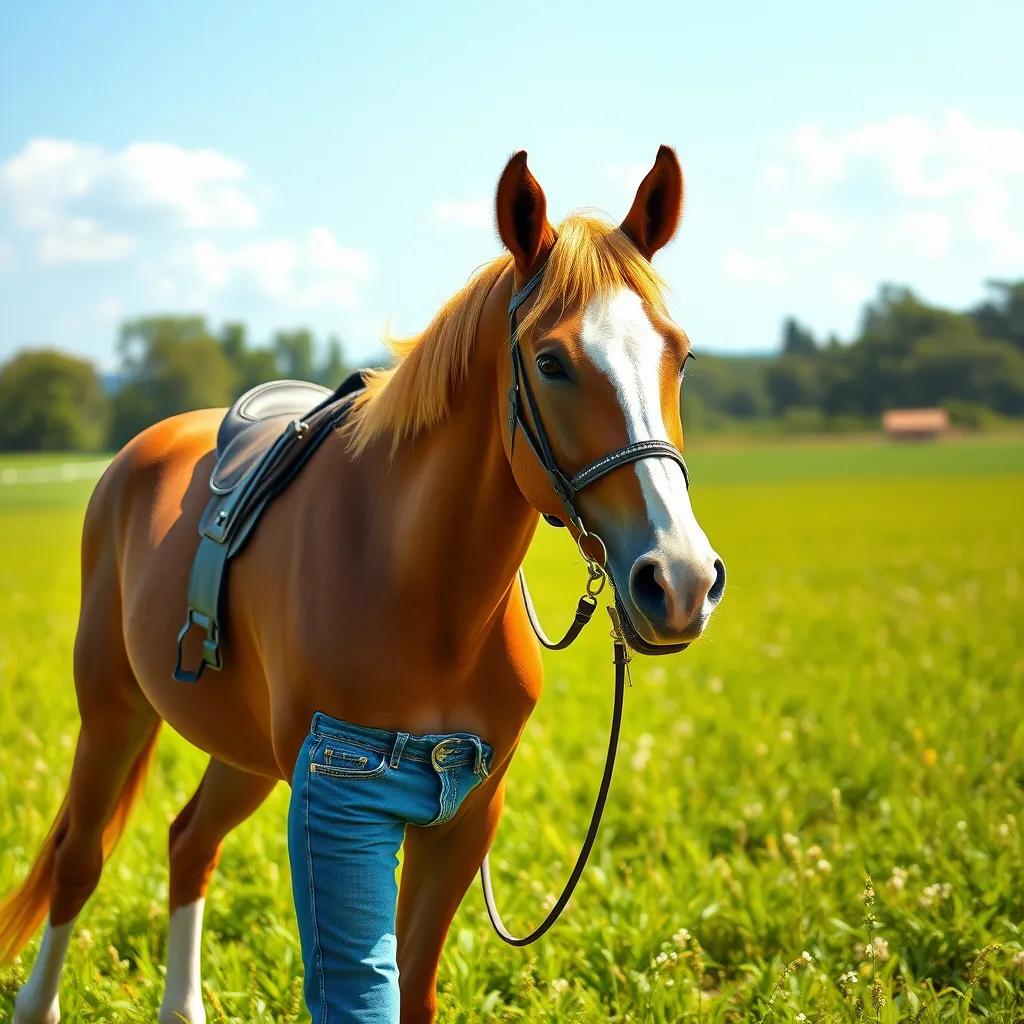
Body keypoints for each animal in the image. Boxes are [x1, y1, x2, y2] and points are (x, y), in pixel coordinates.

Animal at [1, 146, 725, 1024]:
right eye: (552, 362)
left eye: (680, 356)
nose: (679, 578)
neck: (424, 590)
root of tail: (142, 452)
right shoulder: (339, 808)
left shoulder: (464, 818)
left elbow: (414, 986)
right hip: (112, 708)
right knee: (78, 859)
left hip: (241, 751)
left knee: (189, 842)